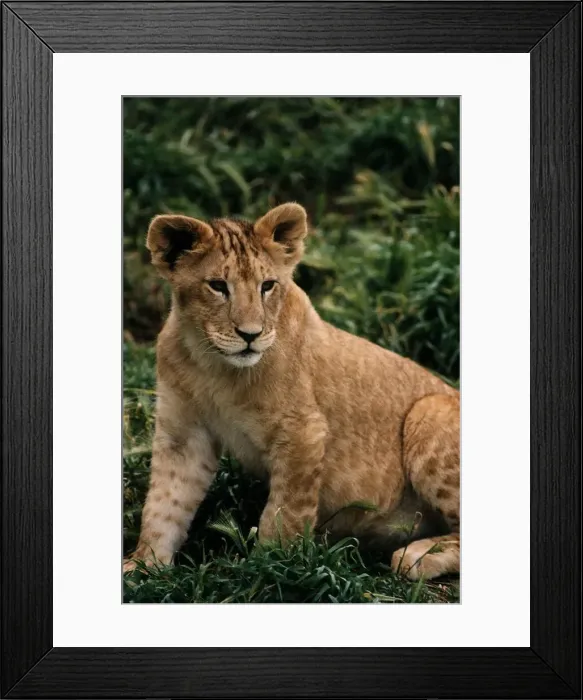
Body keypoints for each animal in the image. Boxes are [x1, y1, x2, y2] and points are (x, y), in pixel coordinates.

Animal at [124, 203, 460, 581]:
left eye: (267, 286)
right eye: (217, 286)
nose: (250, 335)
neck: (211, 362)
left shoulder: (302, 431)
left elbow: (283, 514)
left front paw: (268, 569)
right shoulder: (183, 433)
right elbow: (164, 504)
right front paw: (145, 567)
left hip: (428, 411)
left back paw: (416, 556)